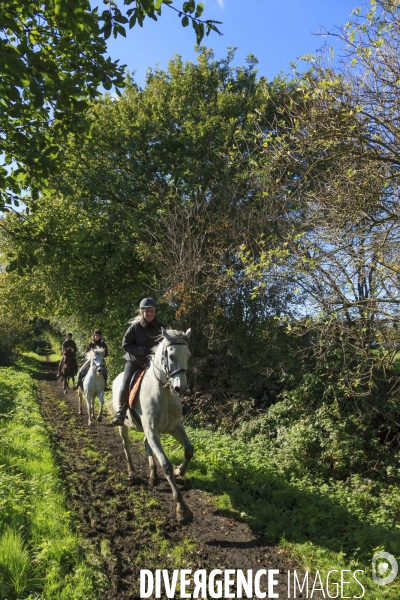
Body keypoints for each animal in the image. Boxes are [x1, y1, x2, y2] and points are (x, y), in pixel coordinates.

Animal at [110, 328, 193, 524]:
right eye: (171, 355)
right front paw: (181, 509)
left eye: (188, 356)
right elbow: (166, 465)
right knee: (126, 445)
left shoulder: (174, 427)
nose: (181, 388)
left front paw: (179, 471)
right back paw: (132, 473)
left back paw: (153, 476)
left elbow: (189, 450)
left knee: (146, 444)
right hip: (124, 426)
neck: (163, 393)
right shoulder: (153, 431)